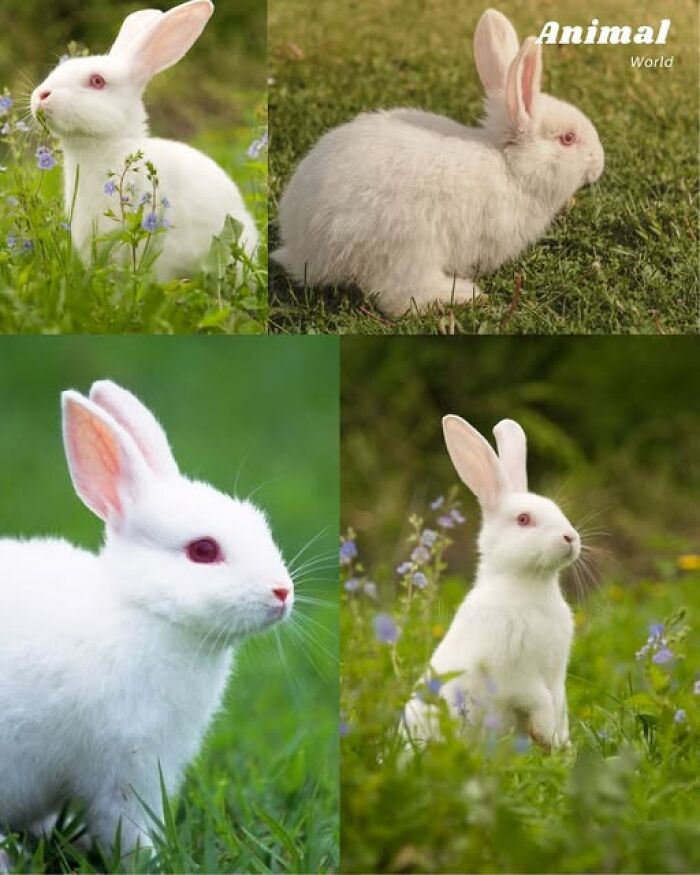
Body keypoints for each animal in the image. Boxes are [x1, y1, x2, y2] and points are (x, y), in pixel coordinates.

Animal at [0, 380, 293, 862]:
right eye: (203, 551)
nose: (282, 592)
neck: (143, 610)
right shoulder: (128, 764)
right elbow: (128, 829)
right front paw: (153, 861)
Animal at [273, 8, 604, 317]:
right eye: (568, 138)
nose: (599, 164)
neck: (511, 168)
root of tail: (305, 249)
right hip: (407, 249)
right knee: (399, 299)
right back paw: (463, 295)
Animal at [403, 415, 579, 750]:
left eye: (558, 510)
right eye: (523, 520)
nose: (571, 537)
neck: (530, 584)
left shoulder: (556, 677)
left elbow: (559, 703)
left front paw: (560, 746)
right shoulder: (514, 675)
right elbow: (539, 700)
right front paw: (545, 737)